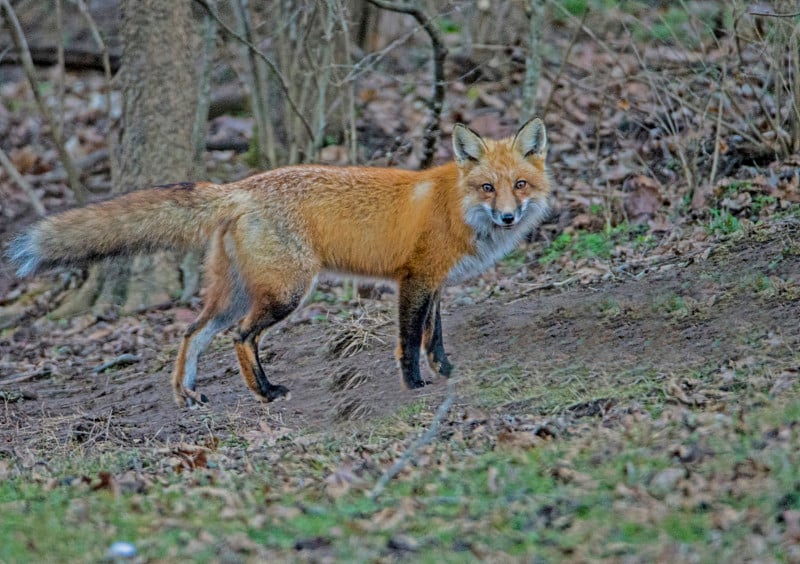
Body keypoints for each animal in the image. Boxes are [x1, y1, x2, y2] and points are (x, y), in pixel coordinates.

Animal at [7, 120, 552, 406]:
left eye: (519, 185)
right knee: (240, 337)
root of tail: (239, 187)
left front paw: (447, 370)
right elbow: (408, 342)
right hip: (285, 293)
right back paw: (265, 392)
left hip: (235, 294)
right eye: (487, 187)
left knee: (192, 333)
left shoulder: (434, 284)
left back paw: (187, 394)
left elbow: (433, 337)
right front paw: (415, 384)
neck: (454, 206)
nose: (508, 216)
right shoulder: (414, 281)